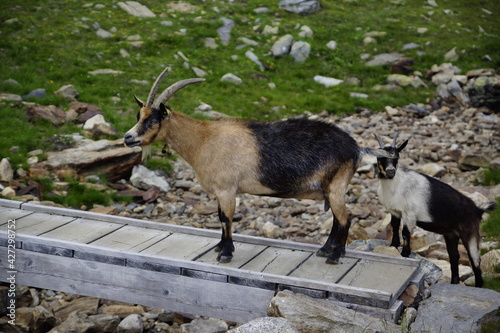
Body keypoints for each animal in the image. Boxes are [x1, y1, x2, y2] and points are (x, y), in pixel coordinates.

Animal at [123, 67, 388, 264]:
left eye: (153, 120)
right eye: (138, 116)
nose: (127, 138)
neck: (204, 140)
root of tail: (355, 147)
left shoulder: (227, 189)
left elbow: (226, 218)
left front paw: (226, 253)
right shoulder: (221, 191)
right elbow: (220, 217)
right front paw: (220, 247)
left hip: (336, 185)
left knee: (345, 219)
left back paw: (334, 256)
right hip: (330, 189)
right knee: (336, 219)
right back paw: (325, 250)